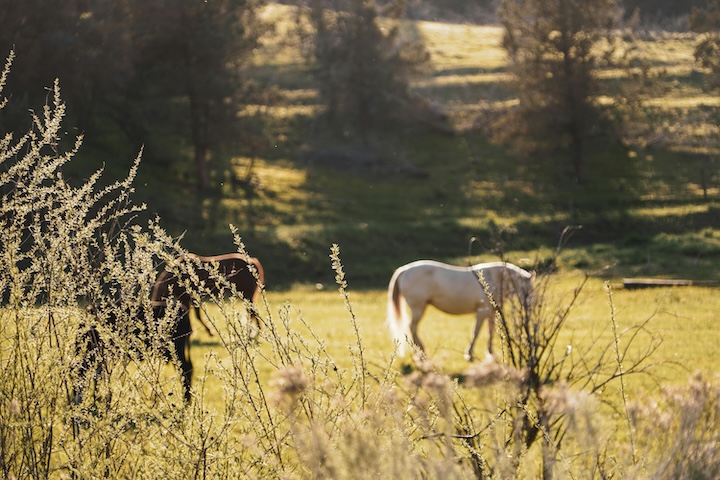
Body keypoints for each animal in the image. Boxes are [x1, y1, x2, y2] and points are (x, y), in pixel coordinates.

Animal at [386, 260, 533, 362]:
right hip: (418, 308)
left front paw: (490, 353)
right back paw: (421, 353)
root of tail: (404, 270)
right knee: (413, 327)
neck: (494, 278)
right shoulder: (482, 312)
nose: (529, 309)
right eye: (527, 290)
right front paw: (469, 354)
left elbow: (490, 332)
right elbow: (476, 332)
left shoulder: (491, 313)